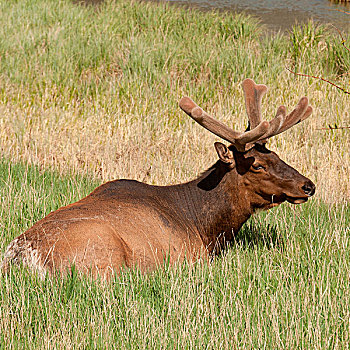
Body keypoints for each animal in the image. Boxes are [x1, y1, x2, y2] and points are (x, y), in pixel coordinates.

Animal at [1, 79, 316, 278]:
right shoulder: (192, 257)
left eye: (276, 155)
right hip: (102, 254)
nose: (308, 185)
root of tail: (22, 259)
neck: (207, 228)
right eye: (258, 166)